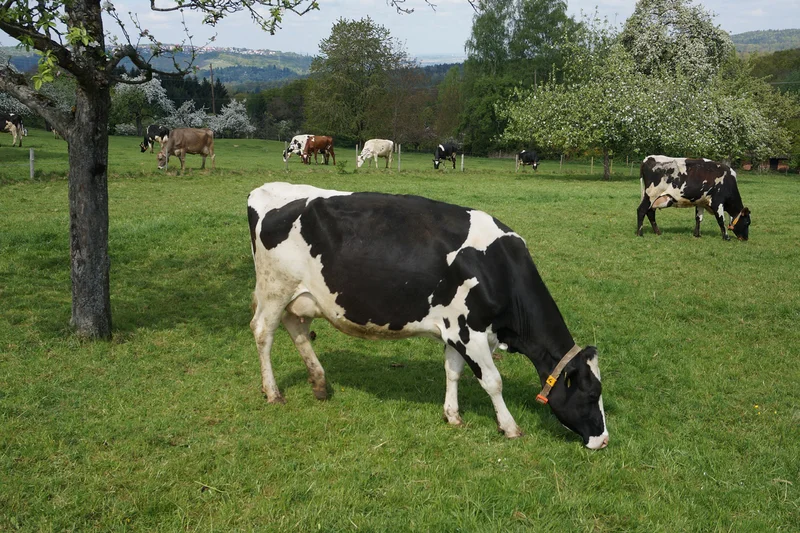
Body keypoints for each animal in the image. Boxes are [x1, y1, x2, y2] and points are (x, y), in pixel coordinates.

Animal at [247, 182, 609, 449]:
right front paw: (509, 427)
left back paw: (320, 383)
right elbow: (493, 381)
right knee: (263, 332)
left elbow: (452, 372)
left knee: (298, 330)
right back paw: (273, 393)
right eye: (592, 394)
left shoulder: (455, 330)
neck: (498, 268)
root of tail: (265, 189)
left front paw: (452, 415)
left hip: (301, 296)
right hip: (274, 289)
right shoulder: (470, 331)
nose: (603, 440)